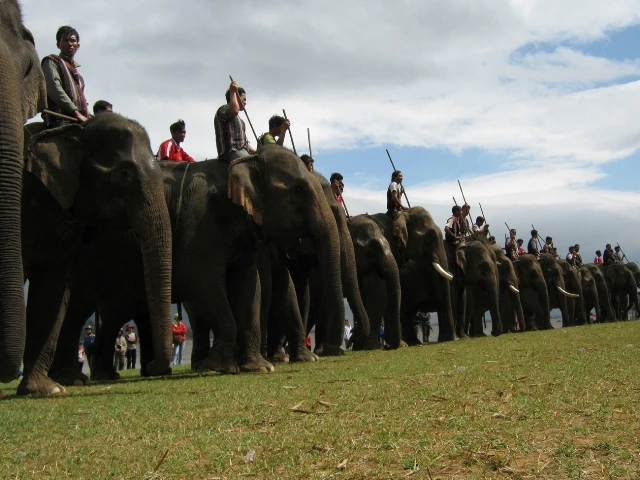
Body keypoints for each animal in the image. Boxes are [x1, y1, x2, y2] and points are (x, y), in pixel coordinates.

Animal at [21, 112, 174, 394]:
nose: (155, 368)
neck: (76, 129)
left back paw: (72, 379)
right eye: (124, 173)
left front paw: (44, 389)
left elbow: (56, 284)